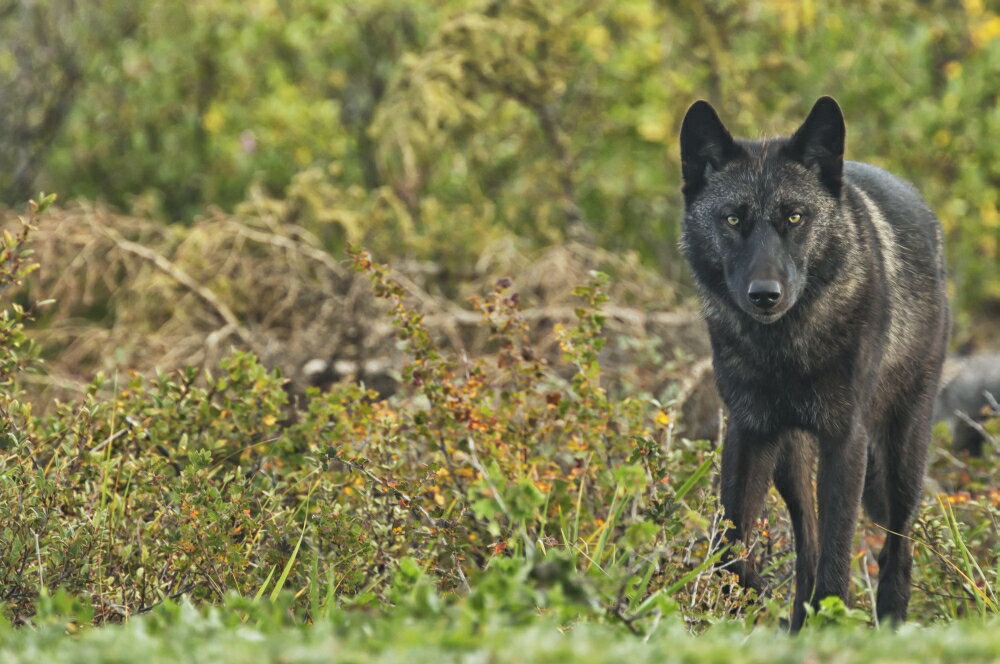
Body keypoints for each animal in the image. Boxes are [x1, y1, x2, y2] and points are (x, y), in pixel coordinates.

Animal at [680, 97, 944, 628]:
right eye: (733, 220)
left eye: (795, 217)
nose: (764, 295)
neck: (783, 353)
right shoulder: (749, 431)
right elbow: (731, 539)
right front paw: (744, 596)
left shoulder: (845, 439)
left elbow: (839, 550)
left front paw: (833, 616)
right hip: (792, 461)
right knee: (809, 540)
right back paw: (797, 623)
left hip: (902, 455)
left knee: (896, 548)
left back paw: (889, 623)